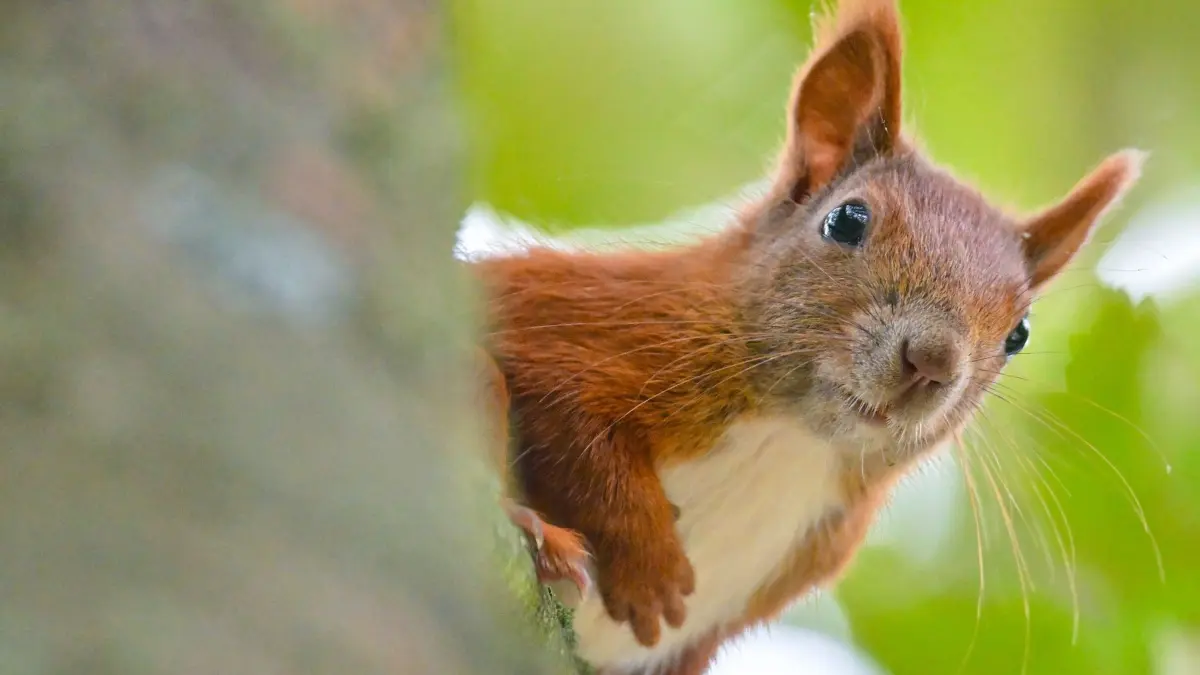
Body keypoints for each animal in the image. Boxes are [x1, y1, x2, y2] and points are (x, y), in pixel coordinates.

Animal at [471, 0, 1144, 673]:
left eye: (1019, 333)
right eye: (846, 220)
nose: (931, 361)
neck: (793, 438)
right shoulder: (577, 320)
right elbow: (574, 424)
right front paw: (649, 568)